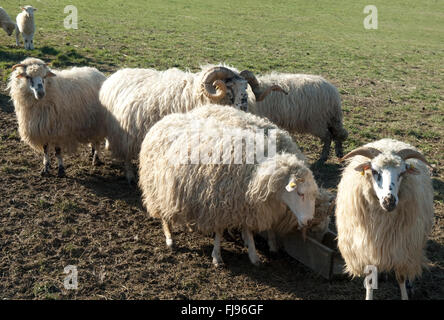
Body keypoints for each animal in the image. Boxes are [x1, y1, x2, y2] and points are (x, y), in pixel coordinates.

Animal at [100, 65, 280, 182]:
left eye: (245, 87)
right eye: (229, 86)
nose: (243, 106)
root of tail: (116, 75)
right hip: (124, 132)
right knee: (126, 155)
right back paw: (130, 176)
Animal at [139, 104, 320, 266]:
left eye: (313, 195)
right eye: (300, 193)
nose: (309, 221)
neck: (256, 171)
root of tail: (165, 119)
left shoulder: (243, 204)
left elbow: (248, 229)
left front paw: (253, 254)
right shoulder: (218, 205)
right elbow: (219, 231)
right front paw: (217, 257)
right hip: (157, 186)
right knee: (163, 213)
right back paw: (169, 237)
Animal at [336, 138, 434, 300]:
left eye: (402, 172)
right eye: (374, 171)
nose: (390, 201)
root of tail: (389, 141)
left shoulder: (401, 248)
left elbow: (401, 277)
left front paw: (405, 294)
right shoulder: (367, 248)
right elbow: (370, 279)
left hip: (413, 243)